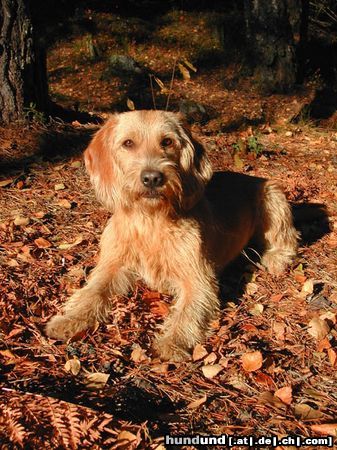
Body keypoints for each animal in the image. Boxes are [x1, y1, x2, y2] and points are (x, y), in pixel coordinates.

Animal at [45, 110, 296, 362]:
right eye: (128, 143)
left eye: (167, 141)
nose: (152, 178)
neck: (150, 220)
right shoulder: (111, 266)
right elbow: (92, 292)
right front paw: (69, 319)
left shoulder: (199, 279)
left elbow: (188, 311)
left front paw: (173, 342)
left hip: (274, 198)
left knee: (289, 238)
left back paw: (275, 258)